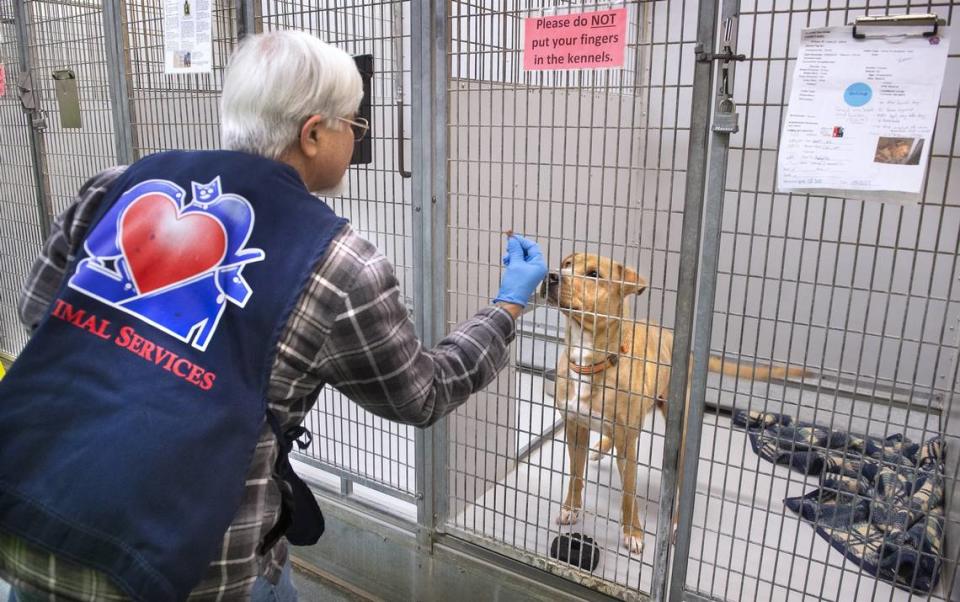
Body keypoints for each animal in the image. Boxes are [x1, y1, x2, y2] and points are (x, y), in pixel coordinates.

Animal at [544, 252, 808, 552]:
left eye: (594, 274)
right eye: (566, 265)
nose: (551, 275)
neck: (590, 361)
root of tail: (683, 344)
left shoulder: (628, 446)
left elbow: (628, 492)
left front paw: (633, 532)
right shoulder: (576, 429)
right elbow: (576, 474)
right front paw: (571, 508)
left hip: (679, 440)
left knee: (678, 489)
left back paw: (675, 525)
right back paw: (601, 447)